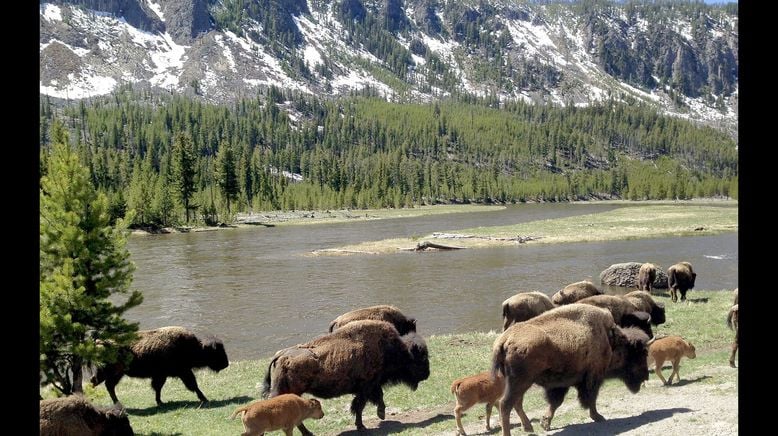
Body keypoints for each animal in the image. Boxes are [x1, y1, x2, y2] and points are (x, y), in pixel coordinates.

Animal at [91, 326, 229, 408]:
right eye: (216, 352)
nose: (226, 364)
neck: (195, 347)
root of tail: (99, 342)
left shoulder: (163, 375)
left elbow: (158, 388)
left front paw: (160, 402)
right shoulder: (183, 372)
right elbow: (193, 385)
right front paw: (204, 399)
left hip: (118, 374)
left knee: (107, 385)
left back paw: (118, 404)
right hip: (110, 373)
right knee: (99, 383)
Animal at [260, 318, 430, 434]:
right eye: (421, 358)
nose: (427, 374)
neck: (393, 349)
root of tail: (281, 355)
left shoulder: (371, 387)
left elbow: (373, 399)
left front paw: (377, 417)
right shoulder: (367, 387)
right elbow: (361, 406)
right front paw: (364, 425)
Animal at [492, 304, 648, 434]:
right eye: (640, 355)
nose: (646, 376)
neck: (610, 339)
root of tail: (504, 339)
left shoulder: (561, 384)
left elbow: (556, 402)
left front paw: (545, 423)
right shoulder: (593, 377)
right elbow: (591, 398)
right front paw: (598, 417)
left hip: (518, 382)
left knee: (516, 403)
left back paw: (528, 427)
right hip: (520, 382)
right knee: (505, 404)